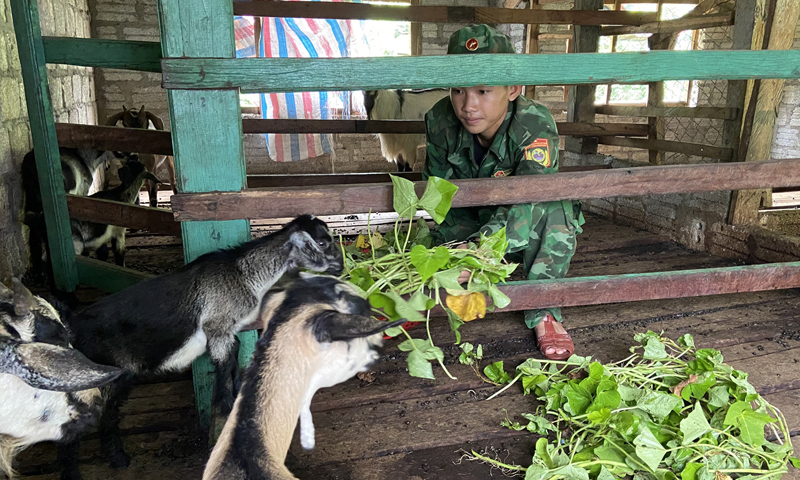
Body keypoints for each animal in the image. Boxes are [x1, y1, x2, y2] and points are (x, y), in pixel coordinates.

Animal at [66, 215, 344, 468]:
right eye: (322, 242)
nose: (340, 267)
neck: (243, 274)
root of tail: (74, 328)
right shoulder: (217, 327)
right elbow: (224, 363)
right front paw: (226, 405)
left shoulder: (228, 330)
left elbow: (234, 354)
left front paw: (236, 392)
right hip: (108, 376)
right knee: (102, 415)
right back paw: (115, 459)